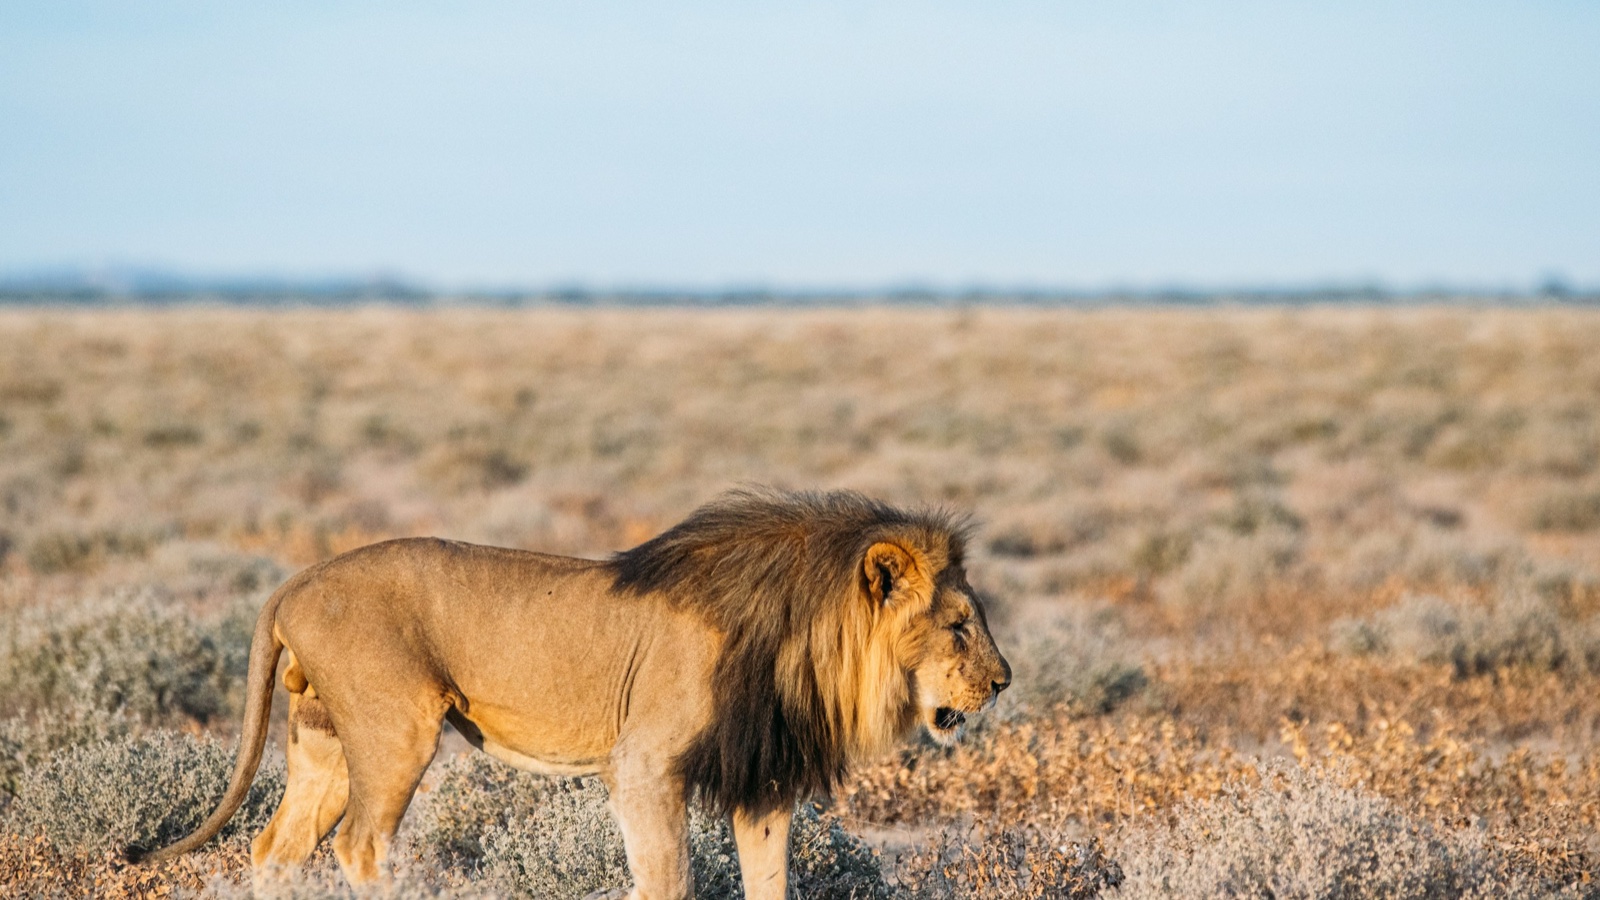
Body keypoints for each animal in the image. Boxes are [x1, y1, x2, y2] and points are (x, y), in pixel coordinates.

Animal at [128, 488, 1011, 899]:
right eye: (960, 626)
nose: (1003, 683)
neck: (806, 641)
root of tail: (297, 578)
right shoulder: (645, 767)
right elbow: (667, 879)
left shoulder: (762, 782)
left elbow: (771, 883)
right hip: (397, 729)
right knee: (359, 847)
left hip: (324, 741)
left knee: (276, 847)